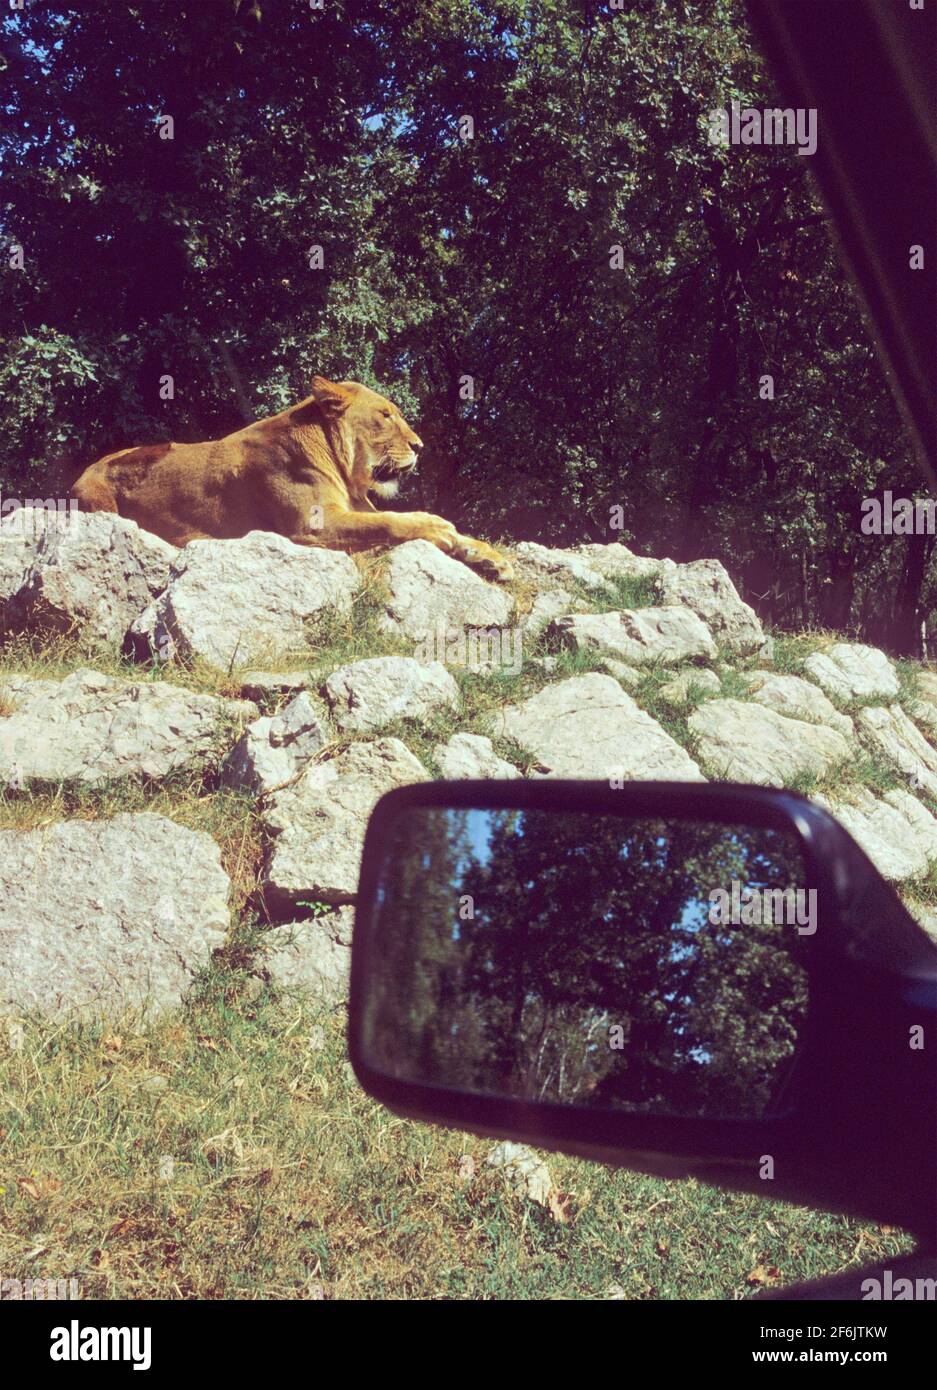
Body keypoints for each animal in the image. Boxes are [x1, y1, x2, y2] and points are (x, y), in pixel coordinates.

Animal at [71, 375, 511, 581]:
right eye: (386, 415)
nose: (420, 446)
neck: (343, 469)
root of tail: (81, 474)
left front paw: (489, 557)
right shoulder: (311, 526)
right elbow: (393, 522)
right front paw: (437, 526)